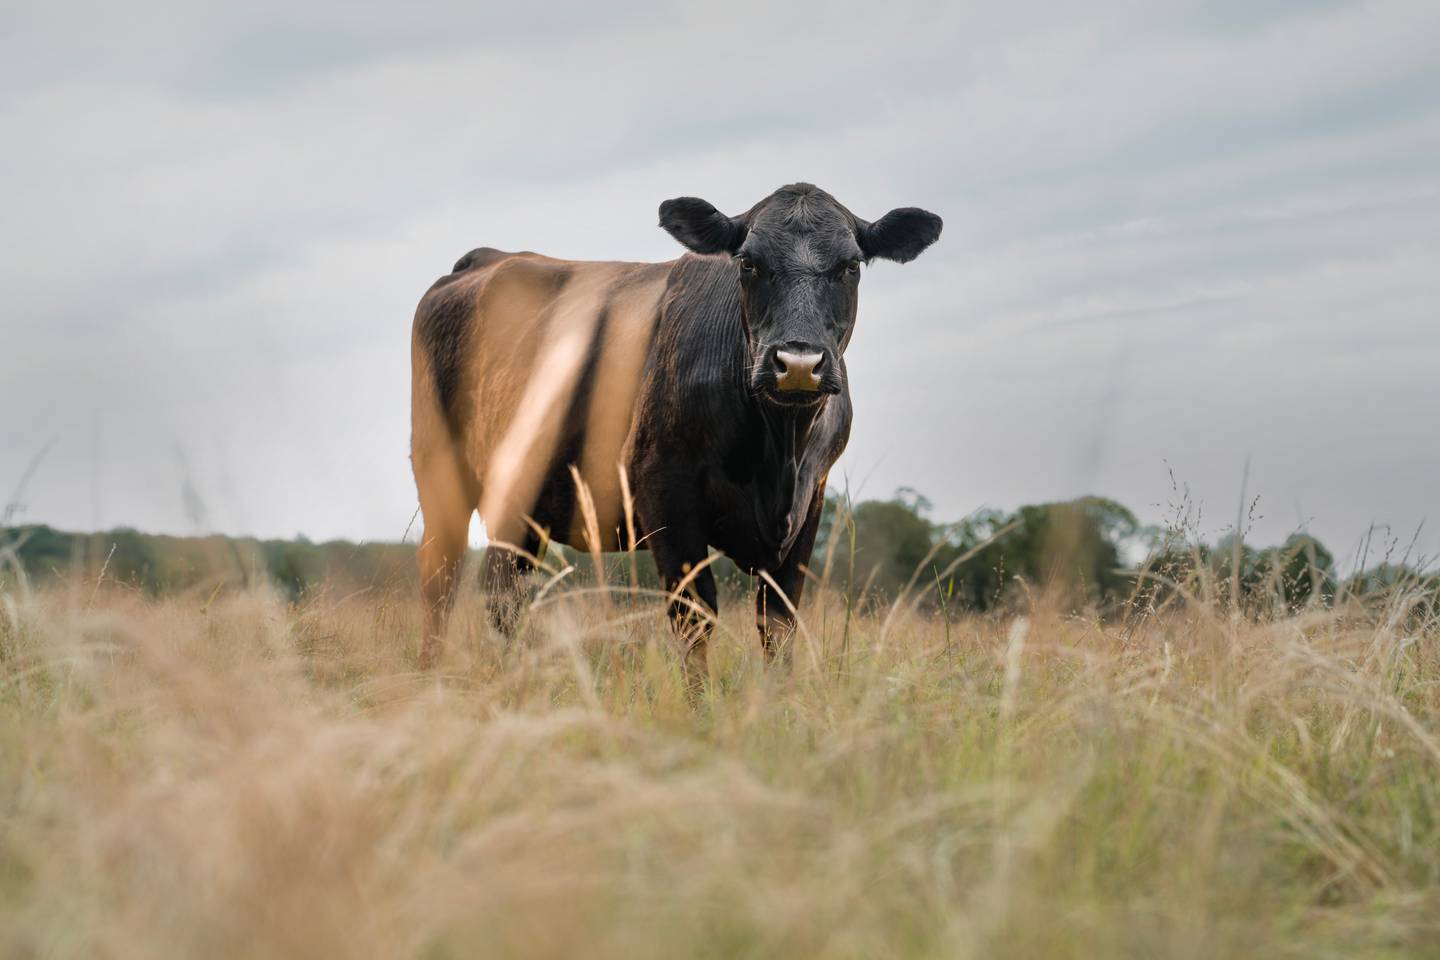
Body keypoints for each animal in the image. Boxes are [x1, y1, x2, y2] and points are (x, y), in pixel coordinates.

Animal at [410, 182, 941, 674]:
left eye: (851, 266)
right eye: (748, 263)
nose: (797, 363)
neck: (778, 450)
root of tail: (486, 258)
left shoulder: (810, 501)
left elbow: (778, 623)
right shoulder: (665, 489)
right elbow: (695, 616)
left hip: (522, 499)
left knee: (505, 590)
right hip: (440, 476)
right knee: (442, 579)